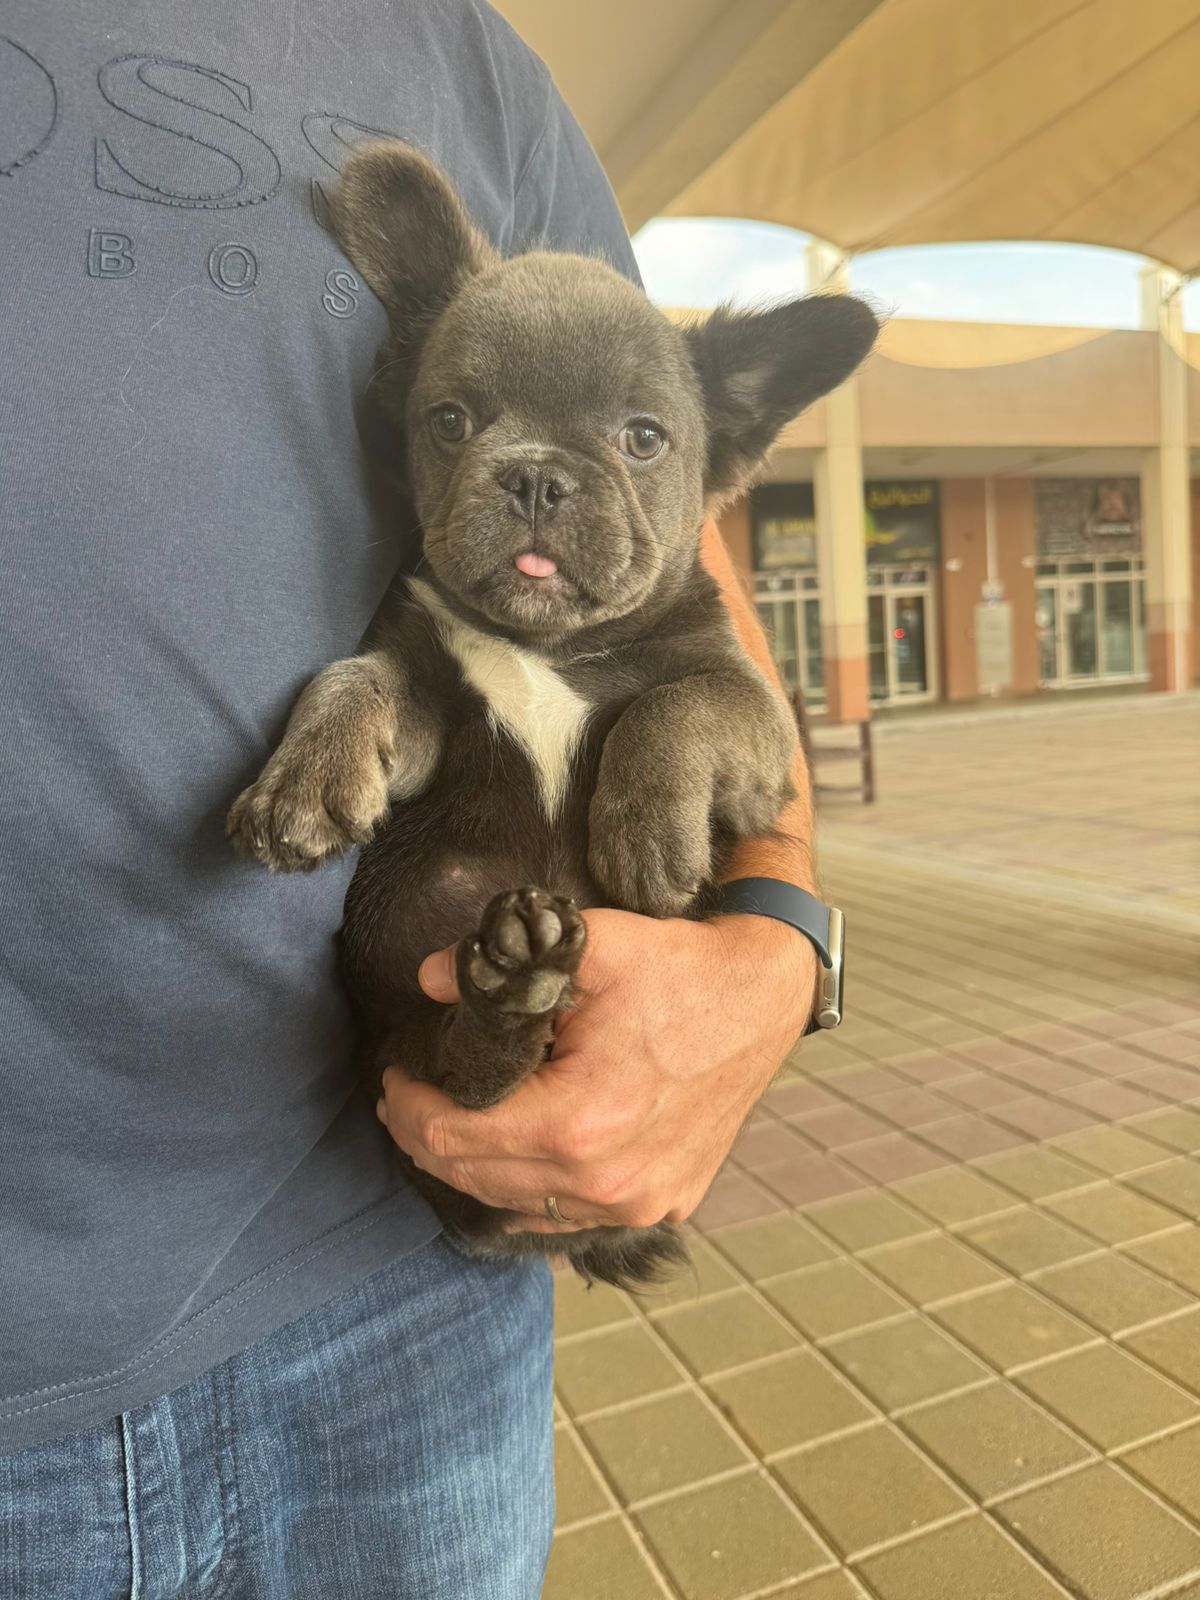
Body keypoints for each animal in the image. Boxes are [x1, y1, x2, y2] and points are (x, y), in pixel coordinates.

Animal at [227, 140, 883, 1286]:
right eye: (449, 421)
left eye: (644, 439)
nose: (535, 474)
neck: (549, 645)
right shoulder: (421, 682)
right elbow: (352, 679)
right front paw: (304, 776)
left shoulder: (756, 718)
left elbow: (676, 704)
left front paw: (645, 830)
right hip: (403, 1023)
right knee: (464, 1077)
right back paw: (510, 988)